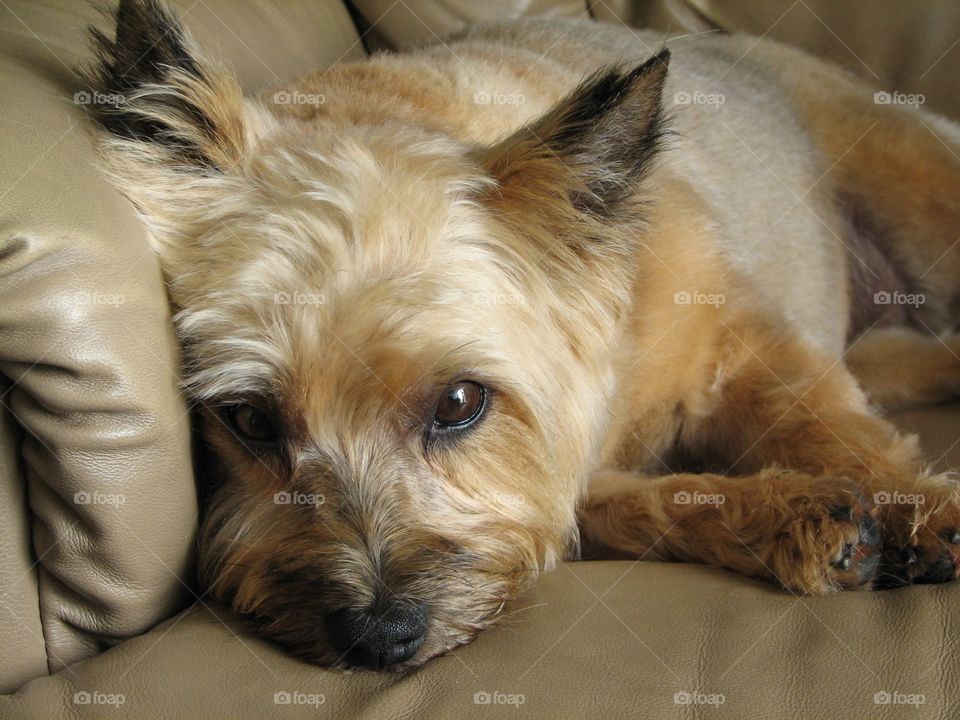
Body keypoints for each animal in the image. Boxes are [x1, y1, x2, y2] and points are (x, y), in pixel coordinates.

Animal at [82, 0, 960, 668]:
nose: (376, 639)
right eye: (249, 421)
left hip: (914, 181)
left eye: (459, 403)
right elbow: (637, 502)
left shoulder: (741, 344)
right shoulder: (555, 476)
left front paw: (917, 507)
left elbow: (832, 427)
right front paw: (791, 514)